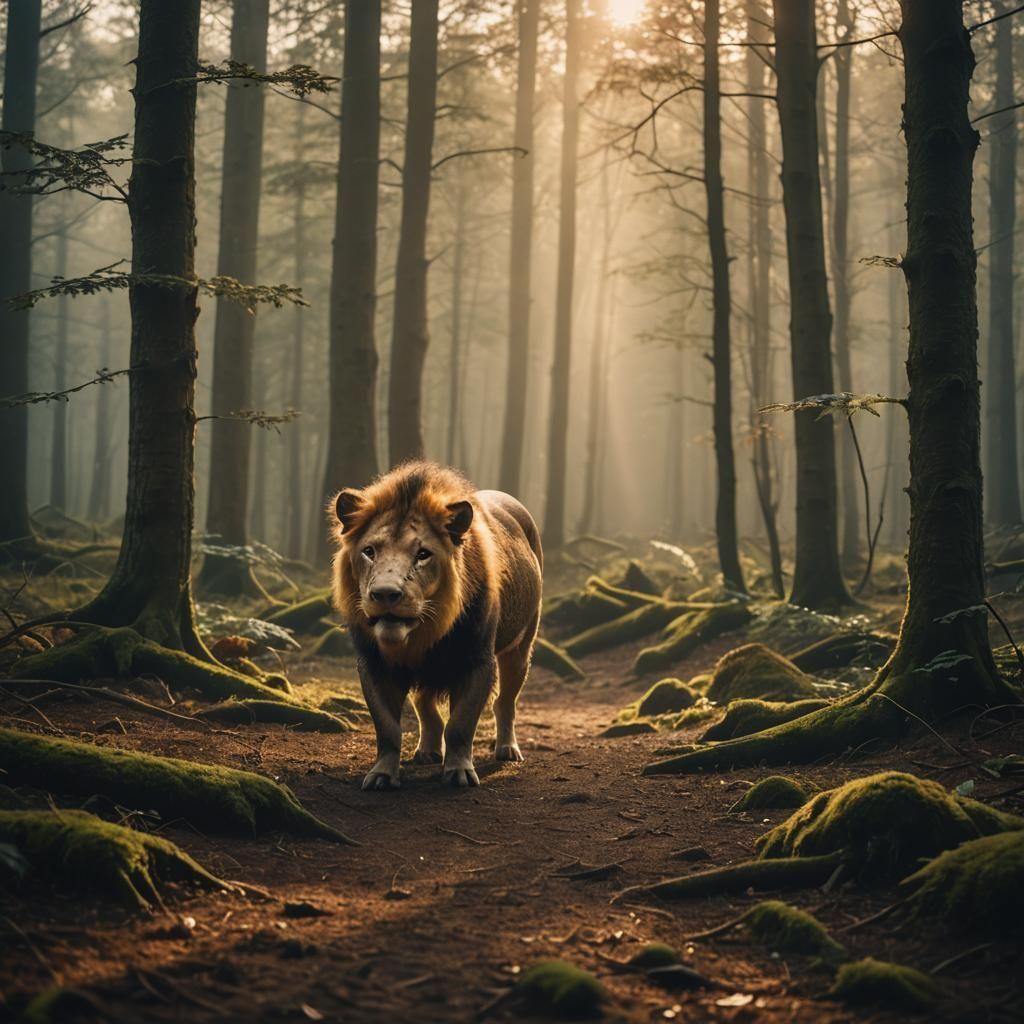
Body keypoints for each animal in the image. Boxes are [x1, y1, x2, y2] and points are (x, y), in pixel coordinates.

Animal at [330, 461, 543, 790]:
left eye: (422, 554)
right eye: (369, 551)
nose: (385, 594)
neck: (424, 631)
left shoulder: (477, 662)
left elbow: (460, 725)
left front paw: (458, 773)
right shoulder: (374, 665)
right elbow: (388, 728)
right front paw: (382, 775)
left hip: (521, 648)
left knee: (506, 702)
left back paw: (508, 749)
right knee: (425, 704)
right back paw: (428, 750)